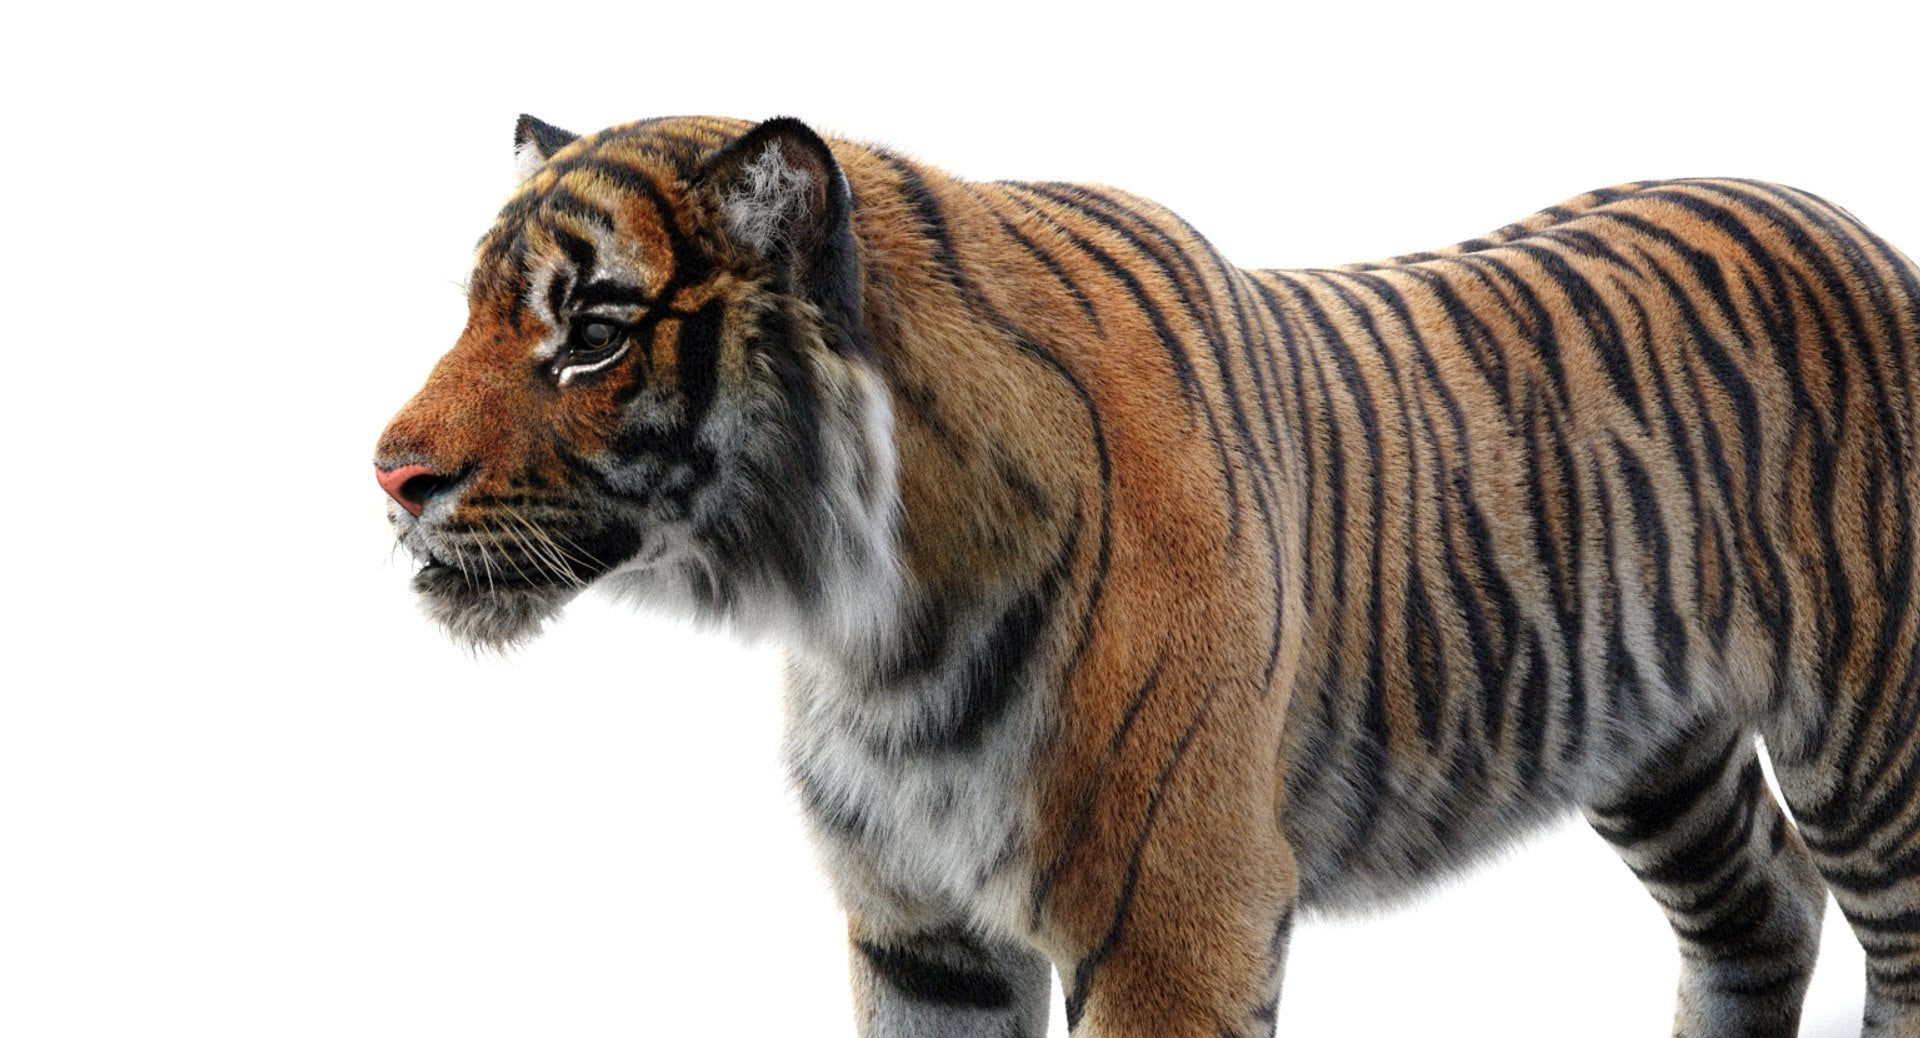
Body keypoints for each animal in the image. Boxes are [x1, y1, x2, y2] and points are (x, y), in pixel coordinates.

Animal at [374, 112, 1920, 1037]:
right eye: (476, 312)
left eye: (590, 335)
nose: (388, 477)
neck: (857, 612)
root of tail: (1845, 217)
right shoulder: (919, 926)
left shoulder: (1180, 913)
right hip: (1656, 741)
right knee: (1762, 904)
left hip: (1871, 742)